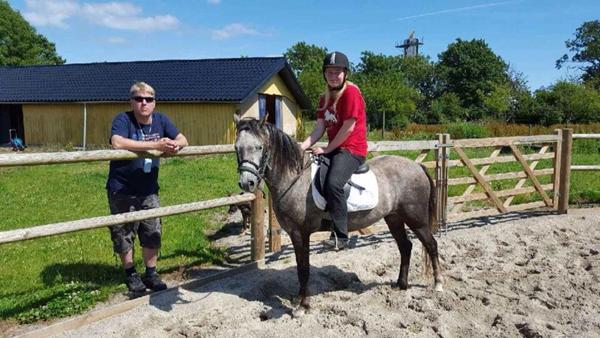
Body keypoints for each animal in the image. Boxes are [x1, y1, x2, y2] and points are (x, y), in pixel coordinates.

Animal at [237, 117, 442, 308]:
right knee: (405, 247)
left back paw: (438, 284)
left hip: (416, 220)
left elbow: (304, 268)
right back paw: (401, 284)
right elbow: (300, 267)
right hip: (394, 218)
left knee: (431, 245)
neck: (295, 178)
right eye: (237, 148)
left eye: (259, 147)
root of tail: (417, 166)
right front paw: (298, 299)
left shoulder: (301, 233)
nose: (247, 183)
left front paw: (304, 304)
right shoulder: (295, 234)